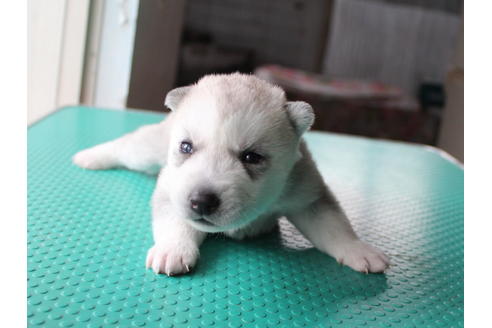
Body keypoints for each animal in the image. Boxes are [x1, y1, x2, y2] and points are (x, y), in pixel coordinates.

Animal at [73, 73, 388, 274]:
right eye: (186, 147)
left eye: (251, 157)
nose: (201, 202)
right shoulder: (172, 188)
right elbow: (174, 218)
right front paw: (172, 248)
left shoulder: (306, 193)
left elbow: (333, 224)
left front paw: (356, 248)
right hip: (148, 150)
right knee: (126, 145)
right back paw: (90, 155)